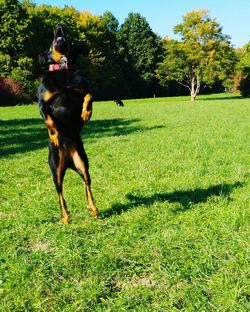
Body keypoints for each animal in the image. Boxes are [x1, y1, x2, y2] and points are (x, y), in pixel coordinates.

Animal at [38, 24, 98, 224]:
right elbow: (48, 119)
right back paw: (65, 217)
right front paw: (54, 135)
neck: (62, 68)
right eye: (51, 39)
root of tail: (68, 162)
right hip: (55, 170)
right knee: (60, 194)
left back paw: (93, 208)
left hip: (83, 164)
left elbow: (89, 96)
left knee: (87, 187)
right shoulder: (42, 103)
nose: (59, 25)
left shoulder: (82, 91)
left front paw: (86, 113)